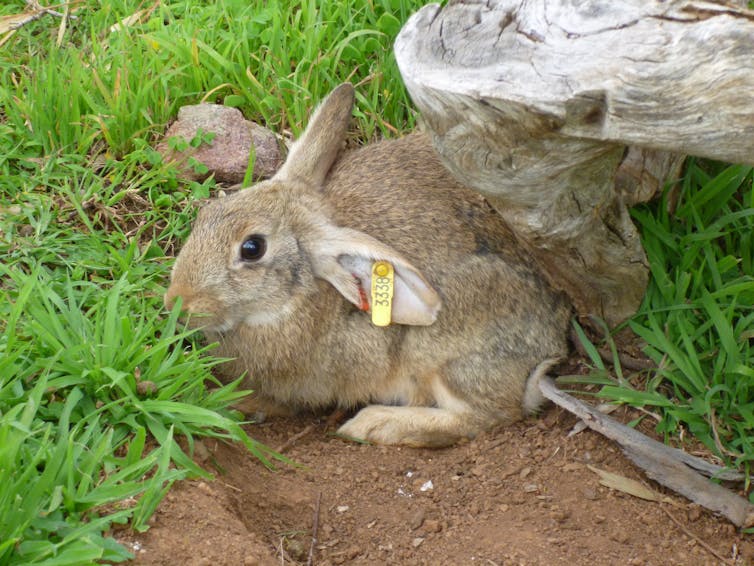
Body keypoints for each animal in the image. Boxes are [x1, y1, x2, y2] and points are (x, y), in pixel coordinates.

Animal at [163, 83, 564, 448]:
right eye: (208, 213)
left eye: (252, 248)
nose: (179, 302)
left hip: (444, 353)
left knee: (486, 415)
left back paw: (374, 425)